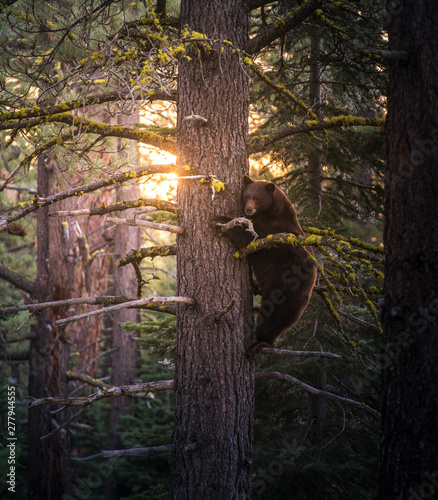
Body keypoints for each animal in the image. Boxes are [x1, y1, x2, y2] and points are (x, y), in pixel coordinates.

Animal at [211, 176, 314, 356]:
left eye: (257, 198)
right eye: (246, 196)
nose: (249, 209)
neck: (271, 211)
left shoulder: (270, 229)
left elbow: (247, 237)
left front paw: (219, 219)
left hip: (284, 284)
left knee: (274, 313)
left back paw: (261, 342)